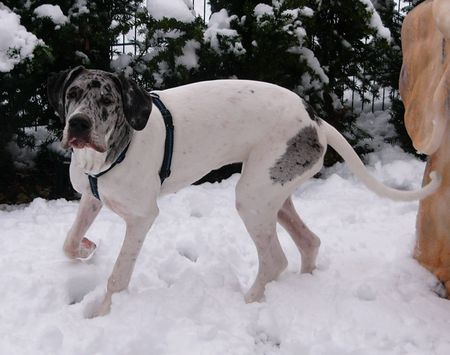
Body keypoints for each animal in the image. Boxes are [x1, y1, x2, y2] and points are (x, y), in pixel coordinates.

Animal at [47, 67, 438, 318]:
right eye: (73, 94)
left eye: (108, 100)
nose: (78, 124)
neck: (111, 150)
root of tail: (315, 119)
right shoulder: (91, 198)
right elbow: (67, 241)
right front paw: (86, 248)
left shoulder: (142, 218)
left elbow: (117, 276)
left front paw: (102, 315)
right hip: (274, 193)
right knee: (309, 241)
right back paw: (304, 285)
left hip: (252, 198)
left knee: (276, 259)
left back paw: (250, 302)